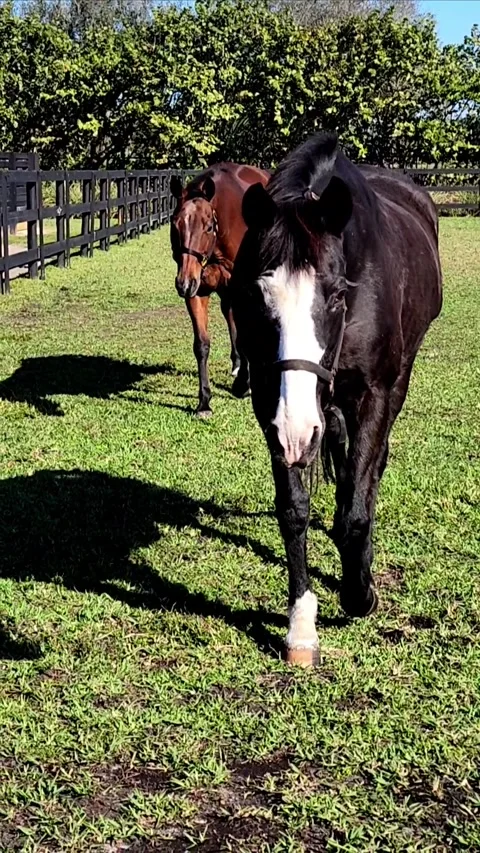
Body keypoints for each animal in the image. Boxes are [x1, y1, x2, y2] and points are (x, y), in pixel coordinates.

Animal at [170, 163, 269, 417]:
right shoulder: (198, 291)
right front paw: (204, 401)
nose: (183, 283)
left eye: (207, 227)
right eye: (175, 224)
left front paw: (243, 384)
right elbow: (201, 345)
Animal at [231, 132, 442, 667]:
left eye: (336, 295)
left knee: (369, 468)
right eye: (256, 296)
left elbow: (354, 511)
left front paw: (359, 592)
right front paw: (301, 626)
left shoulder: (374, 394)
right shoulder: (270, 399)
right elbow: (293, 509)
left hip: (398, 379)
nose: (296, 430)